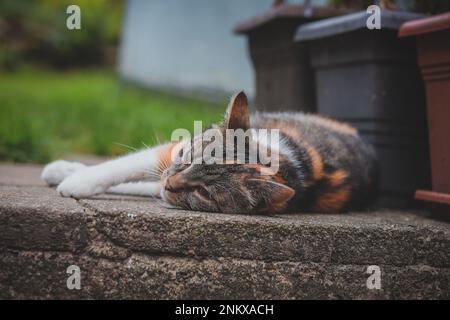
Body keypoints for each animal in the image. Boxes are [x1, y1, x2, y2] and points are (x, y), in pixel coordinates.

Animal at [42, 91, 378, 214]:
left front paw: (74, 181)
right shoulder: (170, 151)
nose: (170, 184)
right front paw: (76, 178)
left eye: (204, 192)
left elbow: (143, 183)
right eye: (187, 157)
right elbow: (125, 166)